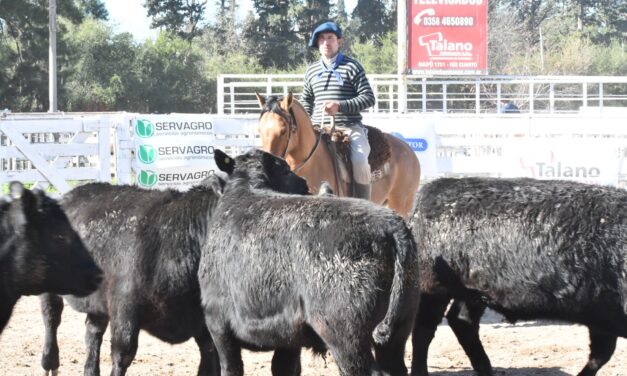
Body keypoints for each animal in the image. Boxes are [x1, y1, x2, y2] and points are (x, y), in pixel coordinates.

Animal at [199, 150, 420, 376]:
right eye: (285, 170)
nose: (304, 182)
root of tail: (391, 224)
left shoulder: (216, 320)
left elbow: (231, 367)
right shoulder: (288, 335)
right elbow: (284, 367)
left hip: (344, 334)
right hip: (399, 326)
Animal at [410, 177, 627, 376]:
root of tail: (432, 188)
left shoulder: (602, 317)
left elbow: (600, 355)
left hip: (472, 292)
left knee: (462, 321)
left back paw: (486, 369)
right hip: (433, 287)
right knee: (424, 330)